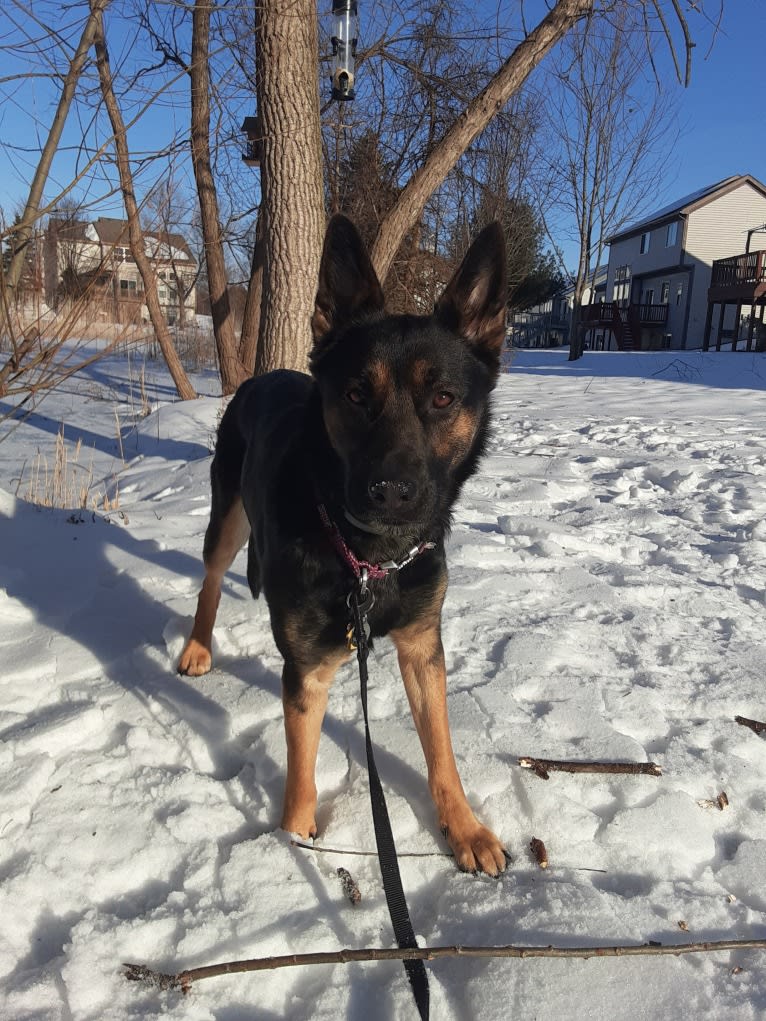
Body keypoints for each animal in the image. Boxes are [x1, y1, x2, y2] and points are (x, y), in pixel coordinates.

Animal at [179, 215, 510, 878]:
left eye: (443, 398)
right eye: (357, 394)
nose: (390, 493)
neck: (371, 559)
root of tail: (262, 376)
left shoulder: (422, 646)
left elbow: (441, 750)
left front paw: (463, 828)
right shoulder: (308, 669)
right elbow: (301, 769)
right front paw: (294, 846)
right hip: (227, 520)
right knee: (211, 577)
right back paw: (198, 648)